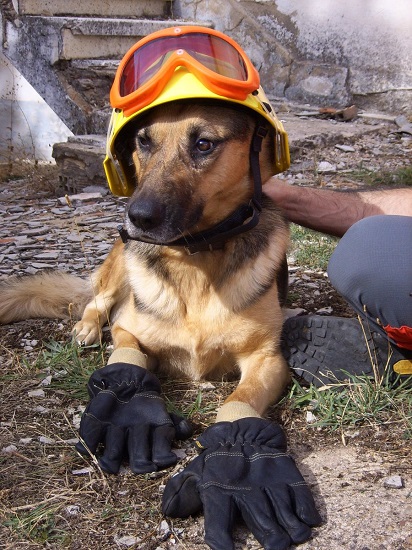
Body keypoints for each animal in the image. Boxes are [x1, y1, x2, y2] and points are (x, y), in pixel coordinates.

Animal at [0, 100, 290, 418]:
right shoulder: (126, 330)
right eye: (144, 142)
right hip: (120, 266)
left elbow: (242, 399)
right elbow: (127, 357)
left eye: (204, 144)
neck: (195, 258)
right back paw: (87, 328)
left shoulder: (267, 358)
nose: (137, 218)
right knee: (95, 302)